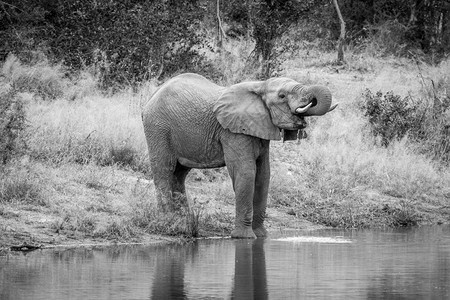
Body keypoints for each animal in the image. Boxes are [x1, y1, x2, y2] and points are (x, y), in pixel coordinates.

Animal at [142, 73, 336, 239]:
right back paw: (168, 222)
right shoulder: (233, 131)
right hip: (158, 127)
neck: (260, 85)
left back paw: (183, 222)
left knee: (179, 174)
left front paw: (261, 236)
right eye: (282, 96)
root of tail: (151, 97)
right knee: (164, 169)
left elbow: (263, 175)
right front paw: (244, 237)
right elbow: (246, 172)